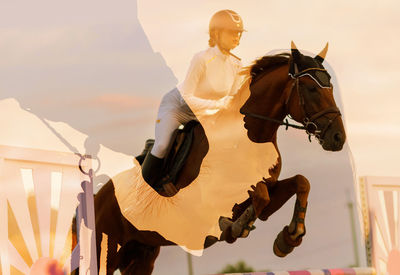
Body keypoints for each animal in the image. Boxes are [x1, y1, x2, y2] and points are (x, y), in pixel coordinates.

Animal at [79, 42, 346, 274]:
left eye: (331, 88)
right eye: (312, 89)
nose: (338, 138)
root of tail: (96, 197)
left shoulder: (268, 193)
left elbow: (299, 183)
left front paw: (289, 237)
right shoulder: (206, 197)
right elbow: (259, 194)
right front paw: (235, 227)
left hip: (141, 255)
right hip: (105, 252)